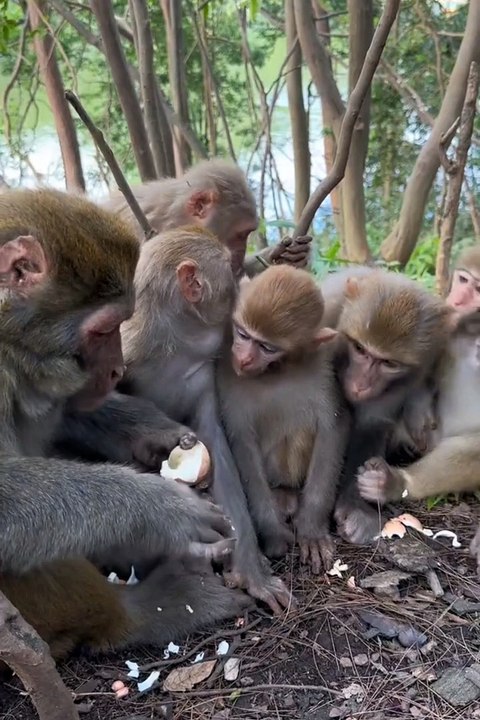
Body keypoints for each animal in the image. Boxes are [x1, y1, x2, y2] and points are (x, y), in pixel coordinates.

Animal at [0, 188, 249, 661]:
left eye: (119, 324)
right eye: (103, 331)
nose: (116, 370)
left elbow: (70, 411)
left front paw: (154, 434)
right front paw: (161, 509)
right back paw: (139, 612)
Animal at [119, 225, 293, 615]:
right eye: (229, 269)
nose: (241, 283)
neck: (171, 346)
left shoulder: (204, 370)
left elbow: (215, 446)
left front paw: (250, 571)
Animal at [216, 266, 349, 574]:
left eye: (267, 347)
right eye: (242, 334)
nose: (244, 358)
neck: (275, 372)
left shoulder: (321, 367)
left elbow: (332, 428)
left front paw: (312, 528)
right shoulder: (228, 375)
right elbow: (242, 444)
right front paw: (273, 533)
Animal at [318, 267, 453, 545]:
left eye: (389, 363)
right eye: (359, 348)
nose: (360, 385)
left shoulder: (413, 371)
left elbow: (372, 424)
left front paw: (357, 507)